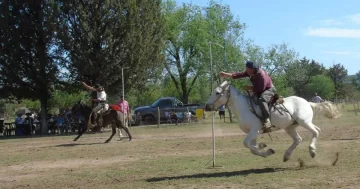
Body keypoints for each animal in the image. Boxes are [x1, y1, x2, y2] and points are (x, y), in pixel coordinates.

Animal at [205, 80, 340, 162]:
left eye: (217, 92)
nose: (206, 106)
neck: (244, 108)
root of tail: (307, 102)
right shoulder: (254, 133)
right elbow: (251, 147)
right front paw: (265, 149)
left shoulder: (255, 130)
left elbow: (247, 144)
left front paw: (262, 148)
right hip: (290, 127)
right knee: (298, 139)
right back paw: (286, 155)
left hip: (304, 122)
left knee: (316, 131)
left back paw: (312, 151)